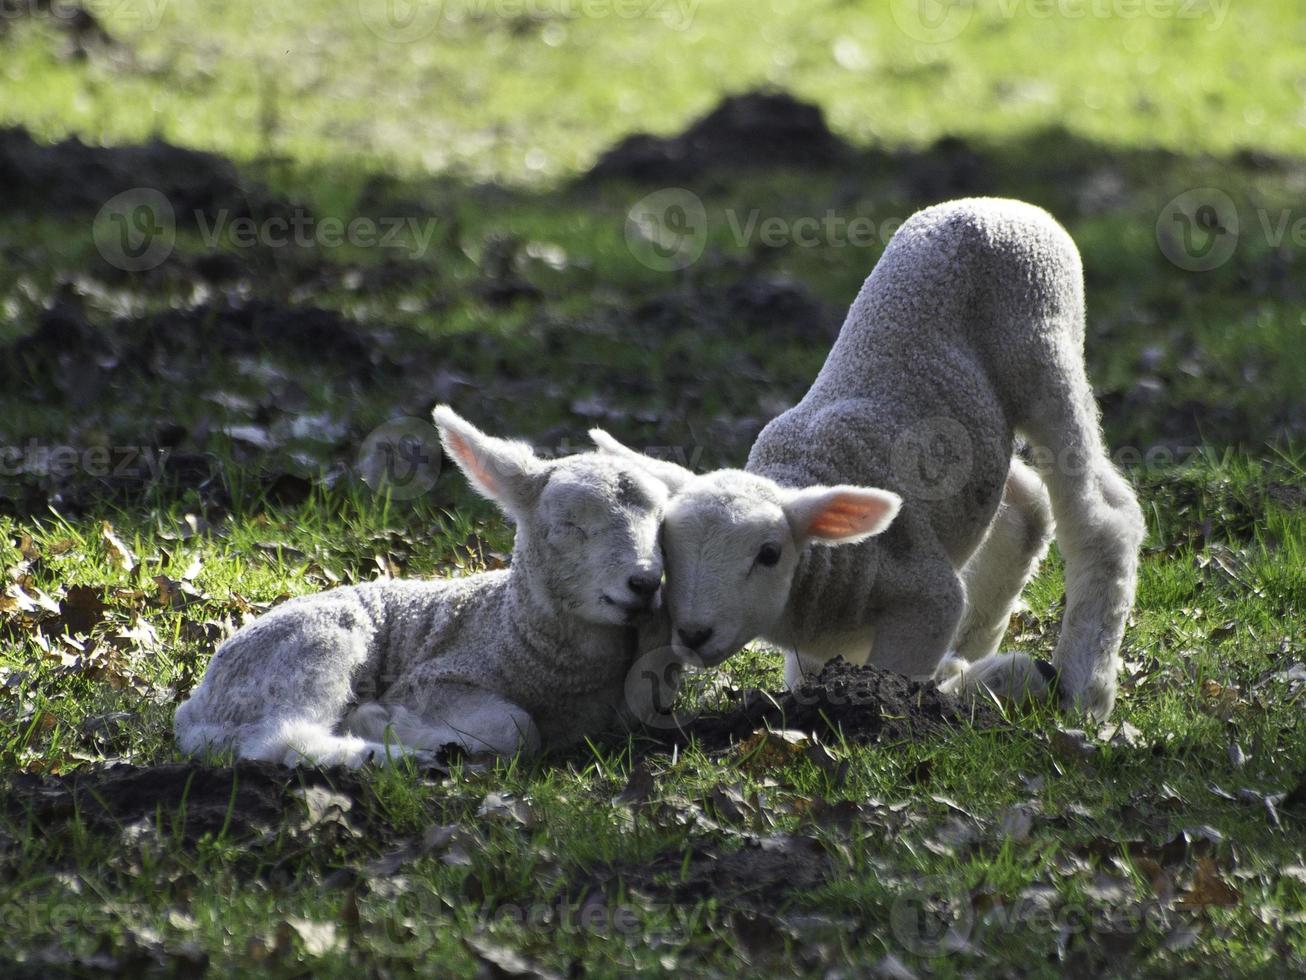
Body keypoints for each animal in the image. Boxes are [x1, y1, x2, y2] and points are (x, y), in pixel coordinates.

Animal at [171, 407, 673, 768]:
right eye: (568, 526)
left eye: (660, 523)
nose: (645, 582)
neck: (513, 629)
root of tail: (195, 713)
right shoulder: (433, 679)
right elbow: (516, 726)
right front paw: (386, 720)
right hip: (308, 650)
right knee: (283, 740)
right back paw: (390, 752)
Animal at [592, 199, 1144, 721]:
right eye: (667, 548)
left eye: (768, 554)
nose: (694, 633)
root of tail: (1000, 205)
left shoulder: (925, 597)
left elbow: (904, 673)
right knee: (1023, 503)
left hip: (1043, 346)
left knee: (1102, 515)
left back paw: (1083, 688)